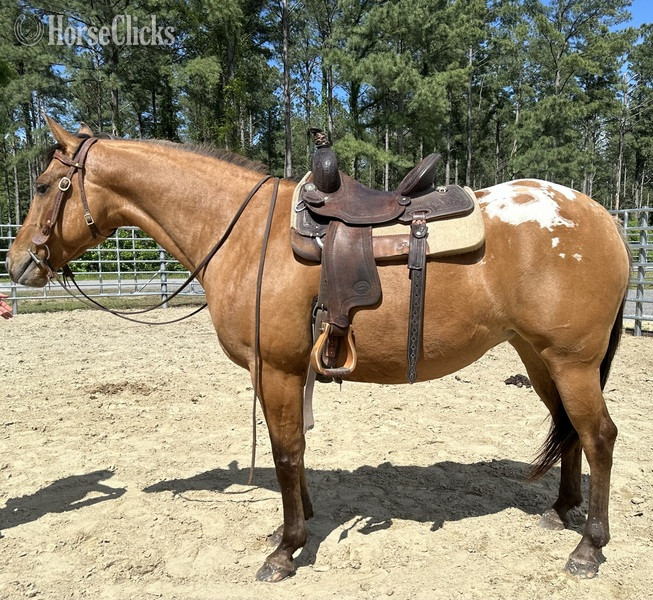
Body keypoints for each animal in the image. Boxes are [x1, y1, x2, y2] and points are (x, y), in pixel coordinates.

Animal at [6, 117, 630, 582]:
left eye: (42, 186)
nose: (16, 264)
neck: (245, 234)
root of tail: (602, 218)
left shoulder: (276, 369)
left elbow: (285, 451)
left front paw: (286, 548)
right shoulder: (288, 371)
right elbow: (296, 448)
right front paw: (299, 522)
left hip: (572, 361)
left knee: (598, 436)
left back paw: (589, 547)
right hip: (539, 356)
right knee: (568, 428)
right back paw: (559, 512)